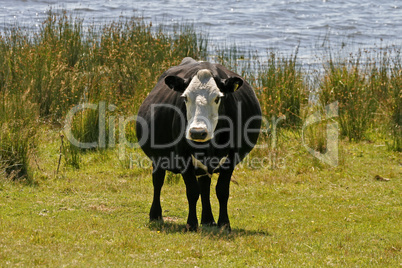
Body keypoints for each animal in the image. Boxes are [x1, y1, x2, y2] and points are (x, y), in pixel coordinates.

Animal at [136, 57, 260, 230]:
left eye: (218, 98)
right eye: (185, 97)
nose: (197, 132)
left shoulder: (232, 156)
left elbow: (222, 190)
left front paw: (224, 223)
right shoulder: (182, 155)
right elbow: (192, 191)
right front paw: (191, 224)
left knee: (205, 185)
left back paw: (208, 219)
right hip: (157, 158)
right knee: (158, 182)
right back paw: (155, 215)